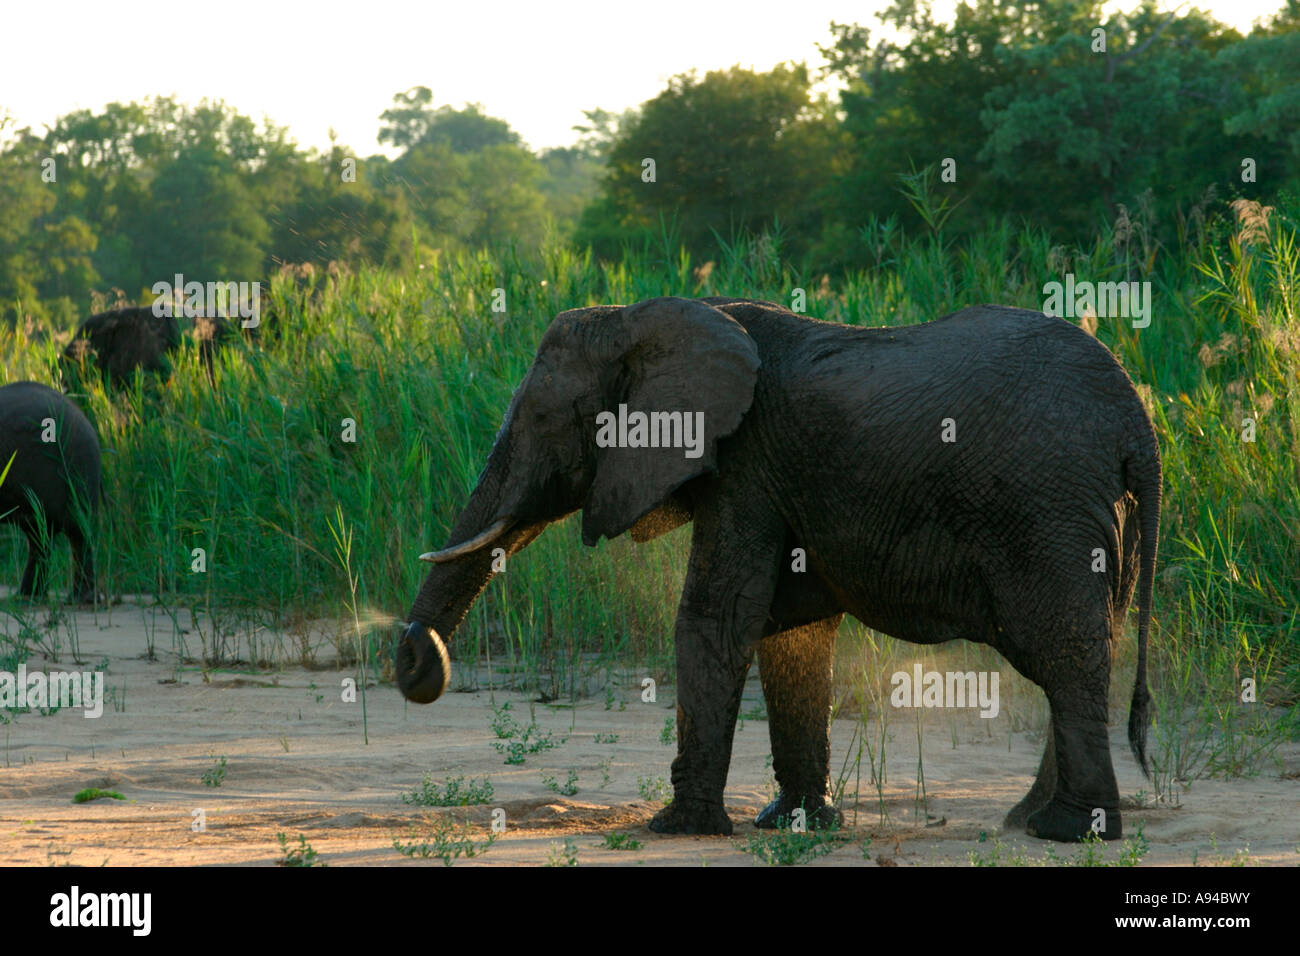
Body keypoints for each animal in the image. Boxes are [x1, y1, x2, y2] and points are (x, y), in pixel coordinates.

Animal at [392, 295, 1159, 842]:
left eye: (544, 419)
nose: (415, 658)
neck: (646, 316)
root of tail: (1137, 424)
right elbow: (791, 633)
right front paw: (794, 823)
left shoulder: (746, 466)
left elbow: (716, 618)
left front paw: (678, 828)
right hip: (1093, 517)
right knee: (1090, 648)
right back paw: (1028, 820)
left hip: (1048, 509)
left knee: (1063, 653)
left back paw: (1068, 830)